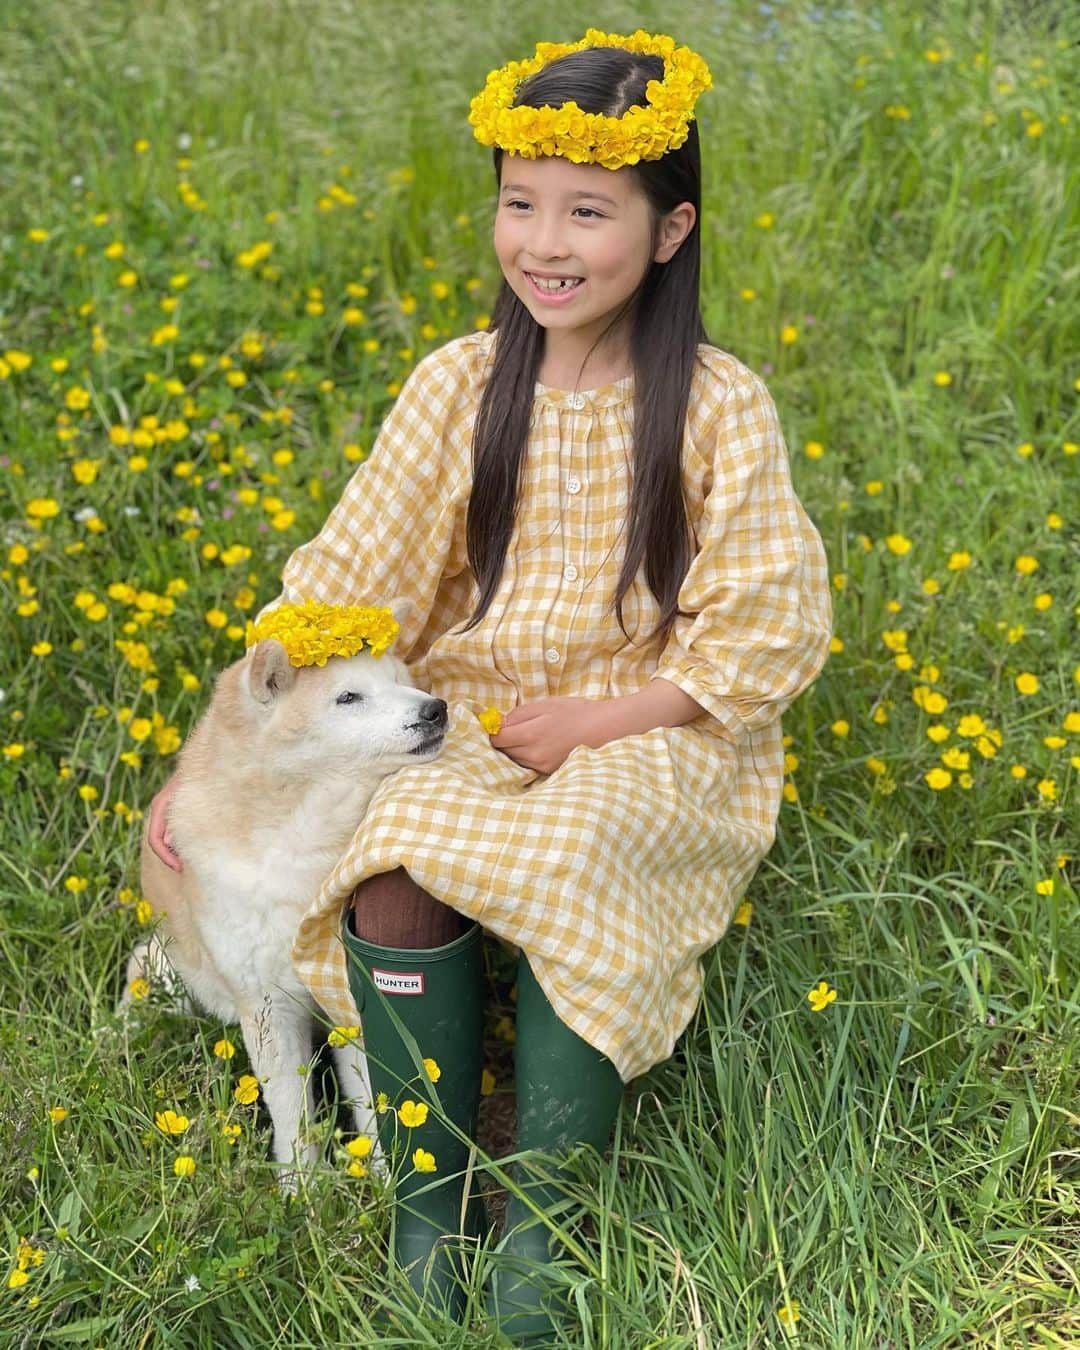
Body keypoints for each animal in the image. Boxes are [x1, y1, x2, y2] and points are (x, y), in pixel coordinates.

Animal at [125, 626, 448, 1177]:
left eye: (401, 680)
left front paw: (382, 1182)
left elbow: (375, 1108)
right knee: (139, 963)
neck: (305, 845)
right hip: (180, 976)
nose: (436, 709)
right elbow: (293, 1117)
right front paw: (305, 1187)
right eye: (348, 697)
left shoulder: (349, 999)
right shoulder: (268, 1006)